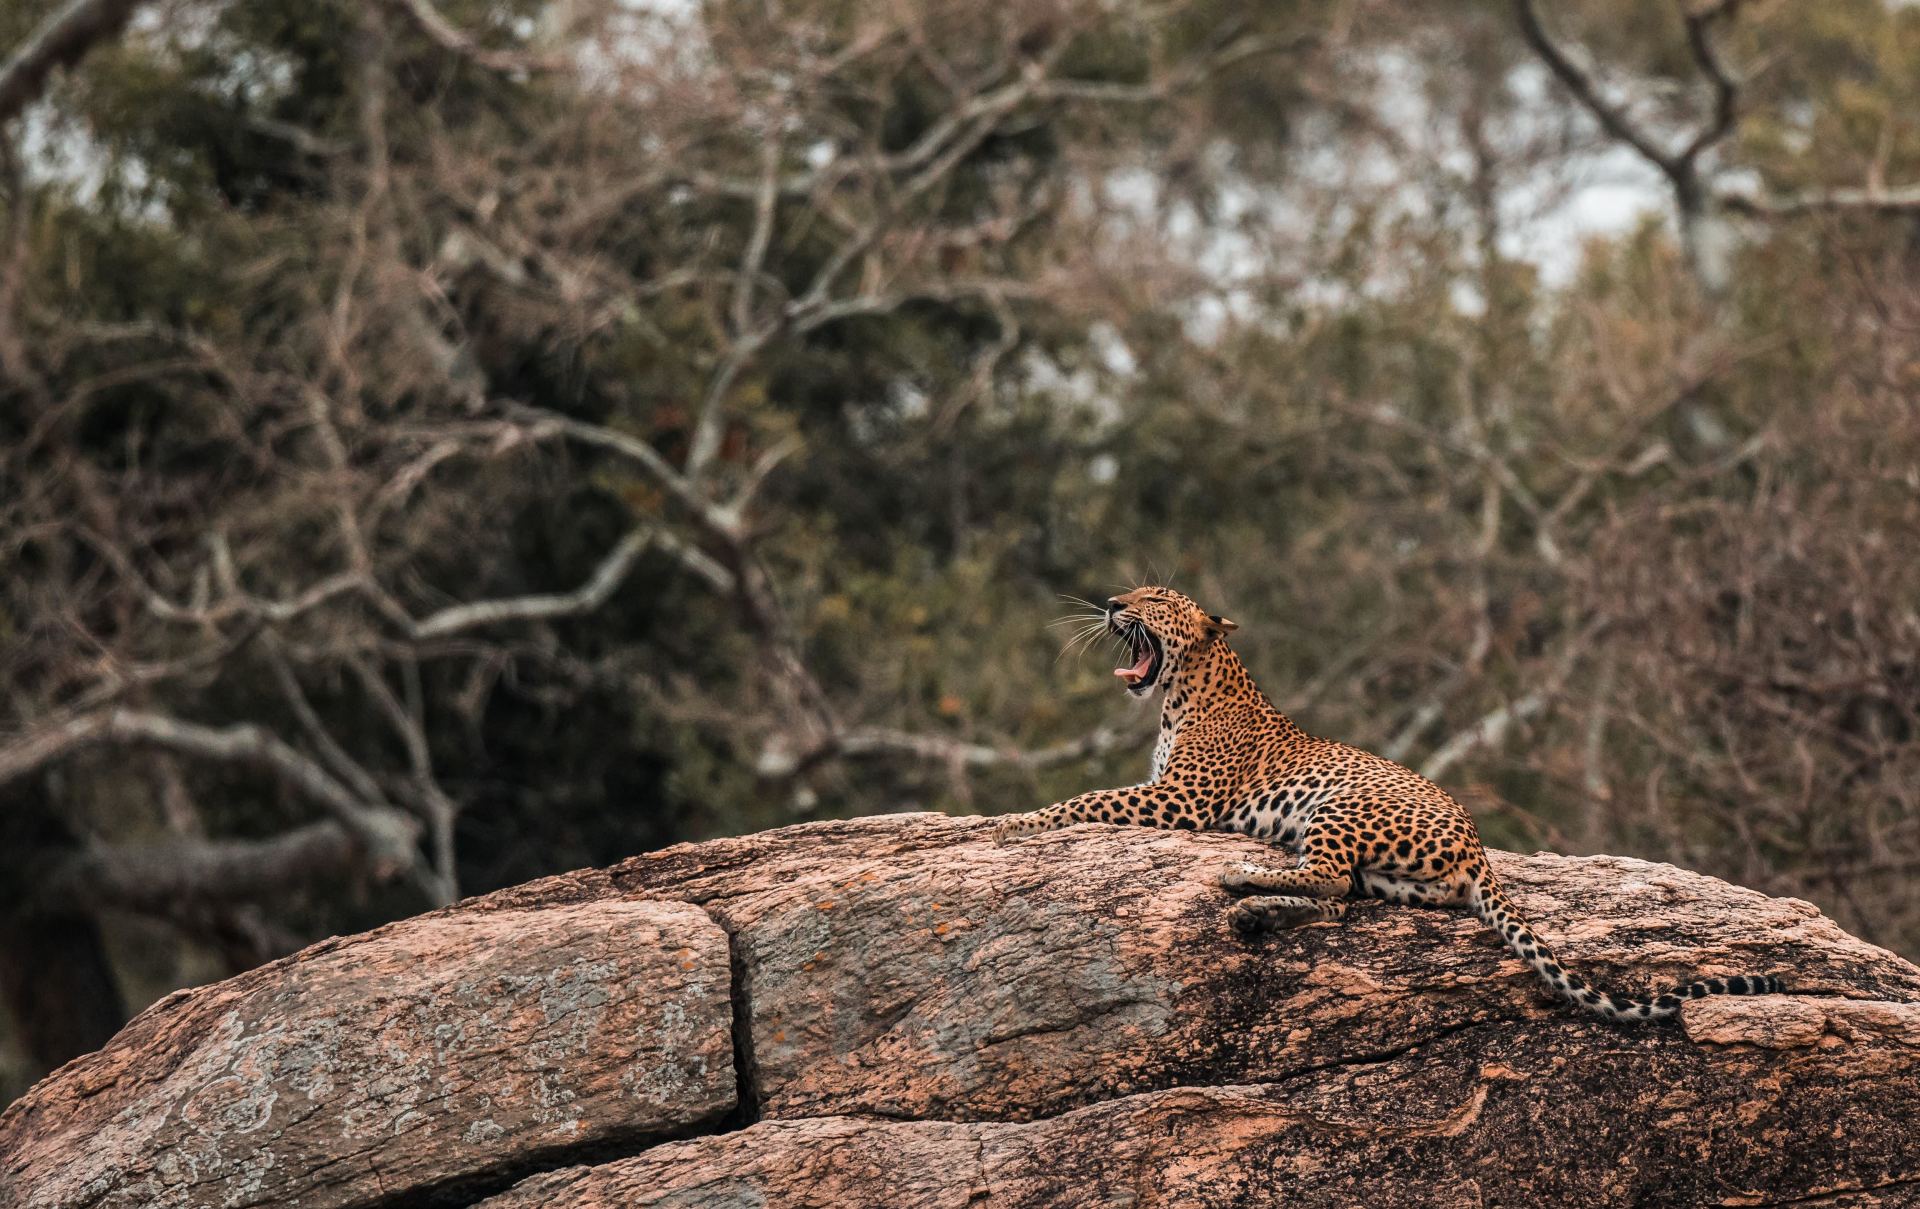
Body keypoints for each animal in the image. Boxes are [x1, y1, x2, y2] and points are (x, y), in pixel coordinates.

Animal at [992, 585, 1786, 1022]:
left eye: (1155, 599)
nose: (1110, 603)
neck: (1180, 695)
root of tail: (1479, 849)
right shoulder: (1169, 793)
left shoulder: (1182, 799)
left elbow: (1085, 798)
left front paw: (1010, 820)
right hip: (1389, 875)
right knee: (1339, 895)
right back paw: (1253, 910)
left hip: (1339, 807)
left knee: (1327, 879)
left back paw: (1240, 882)